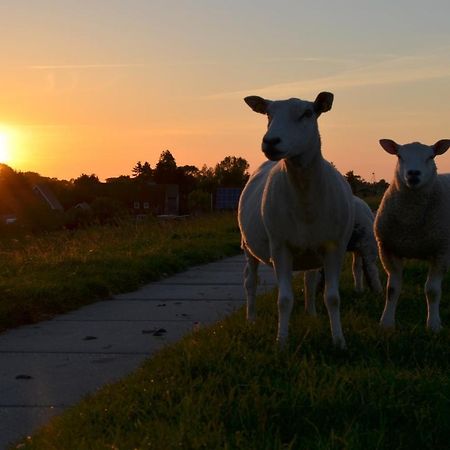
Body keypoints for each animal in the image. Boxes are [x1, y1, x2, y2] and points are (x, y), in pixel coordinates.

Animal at [239, 93, 356, 348]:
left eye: (307, 113)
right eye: (268, 114)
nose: (271, 141)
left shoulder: (334, 247)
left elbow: (332, 297)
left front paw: (339, 340)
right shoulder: (280, 247)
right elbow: (284, 299)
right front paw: (281, 342)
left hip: (311, 252)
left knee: (309, 282)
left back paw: (311, 314)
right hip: (248, 247)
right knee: (250, 281)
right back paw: (250, 318)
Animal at [374, 139, 450, 332]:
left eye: (431, 156)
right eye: (400, 156)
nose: (413, 173)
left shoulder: (441, 252)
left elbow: (432, 291)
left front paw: (433, 325)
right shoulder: (388, 249)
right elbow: (392, 289)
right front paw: (386, 323)